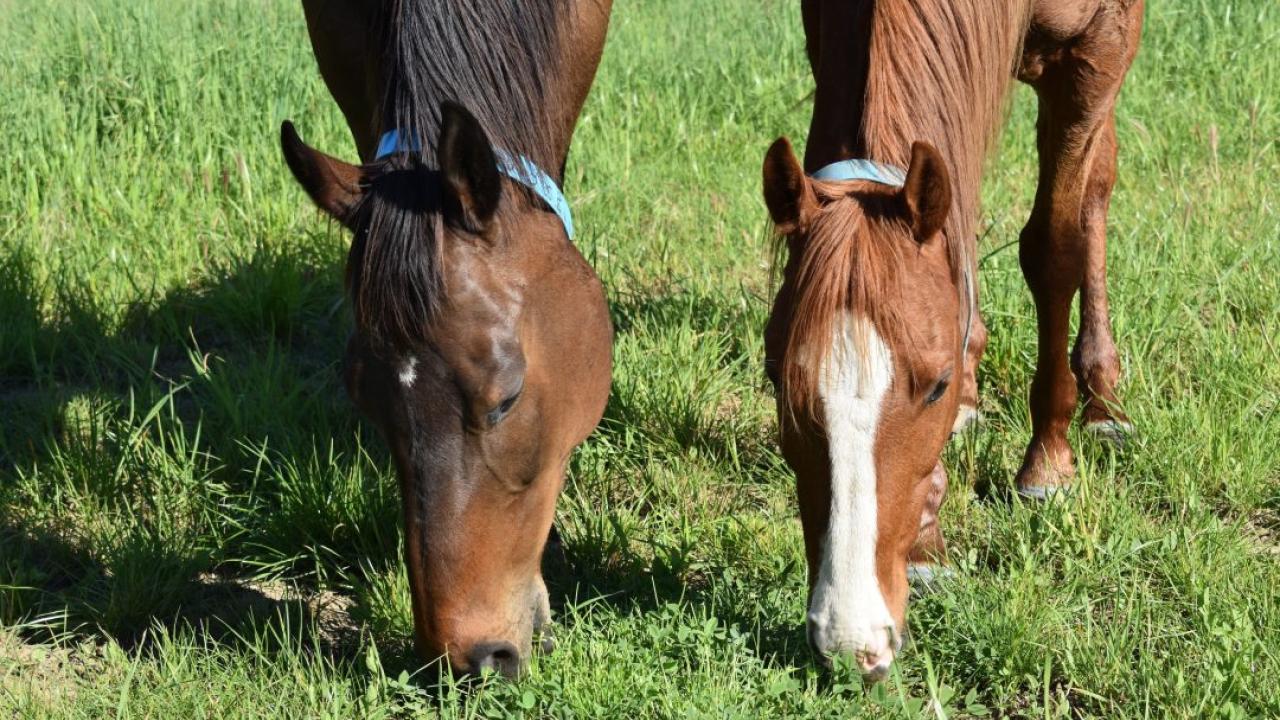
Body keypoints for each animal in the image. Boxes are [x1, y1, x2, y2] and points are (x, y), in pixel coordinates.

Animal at [761, 0, 1143, 678]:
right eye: (775, 377)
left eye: (932, 386)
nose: (850, 640)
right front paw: (926, 544)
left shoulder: (1098, 47)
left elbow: (1056, 245)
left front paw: (1048, 461)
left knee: (1096, 184)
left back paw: (1101, 400)